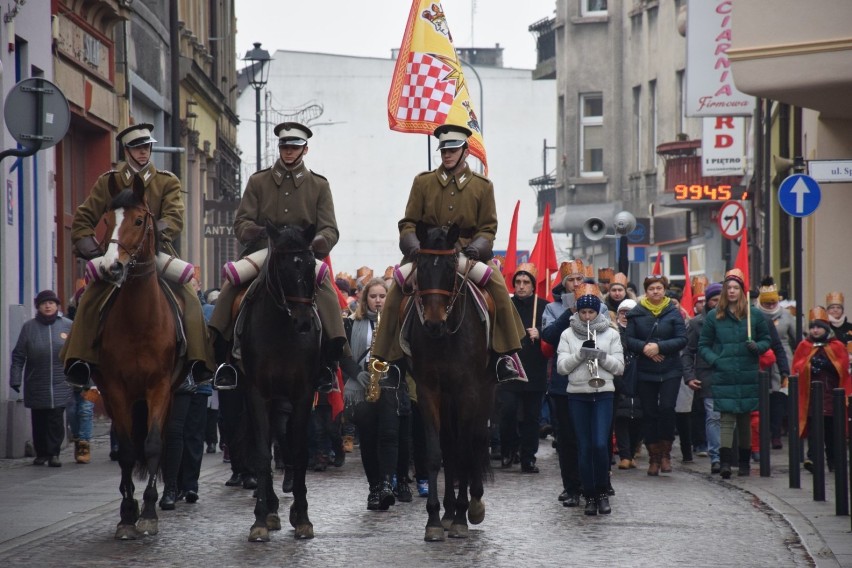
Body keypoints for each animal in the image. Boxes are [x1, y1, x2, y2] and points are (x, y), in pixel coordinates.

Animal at [238, 223, 322, 540]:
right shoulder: (257, 393)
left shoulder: (303, 393)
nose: (303, 322)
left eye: (311, 265)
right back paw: (272, 509)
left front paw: (303, 517)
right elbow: (263, 454)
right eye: (282, 268)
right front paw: (261, 519)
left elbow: (299, 451)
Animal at [406, 222, 492, 540]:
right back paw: (448, 510)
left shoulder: (469, 391)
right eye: (421, 267)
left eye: (449, 268)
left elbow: (466, 449)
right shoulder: (429, 390)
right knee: (450, 443)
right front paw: (434, 518)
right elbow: (436, 452)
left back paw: (472, 505)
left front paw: (462, 517)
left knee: (475, 439)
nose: (433, 323)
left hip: (486, 390)